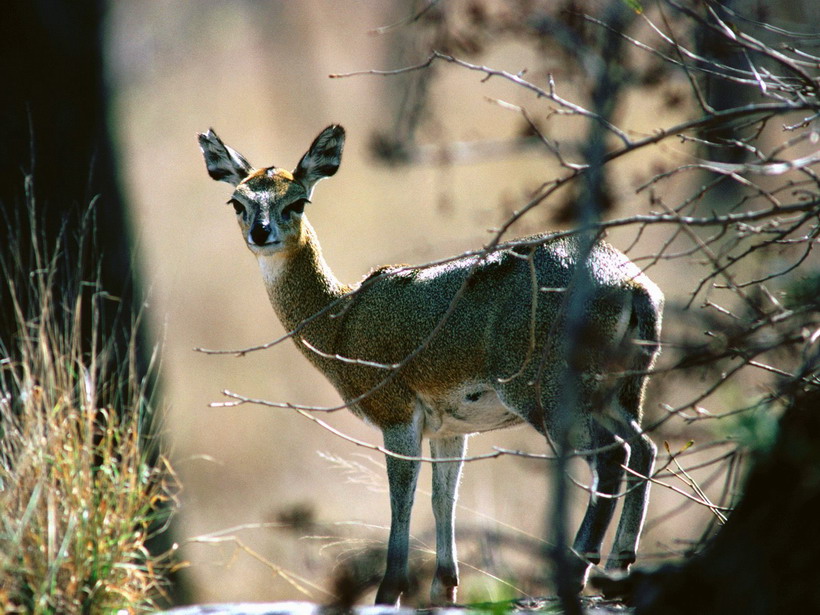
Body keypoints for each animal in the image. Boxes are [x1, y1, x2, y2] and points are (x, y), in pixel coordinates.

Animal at [200, 124, 668, 608]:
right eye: (238, 201)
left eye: (297, 201)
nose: (261, 233)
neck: (340, 322)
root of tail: (631, 285)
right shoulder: (450, 429)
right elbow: (444, 497)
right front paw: (444, 587)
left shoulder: (396, 415)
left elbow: (402, 495)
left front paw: (389, 591)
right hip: (618, 392)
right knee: (645, 448)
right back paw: (620, 561)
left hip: (548, 395)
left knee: (612, 457)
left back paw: (580, 568)